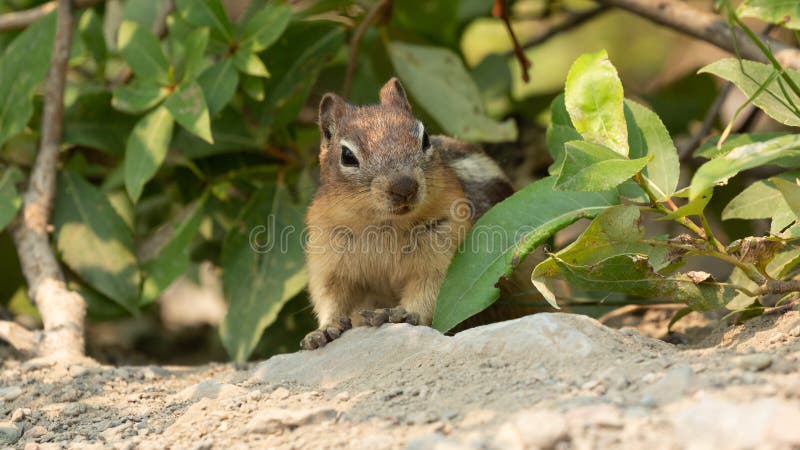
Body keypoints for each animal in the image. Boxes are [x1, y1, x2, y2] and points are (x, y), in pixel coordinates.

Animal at [300, 79, 512, 350]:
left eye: (425, 139)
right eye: (347, 156)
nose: (404, 186)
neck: (384, 225)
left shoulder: (445, 246)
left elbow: (433, 289)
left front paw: (402, 313)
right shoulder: (326, 254)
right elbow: (329, 295)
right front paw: (324, 329)